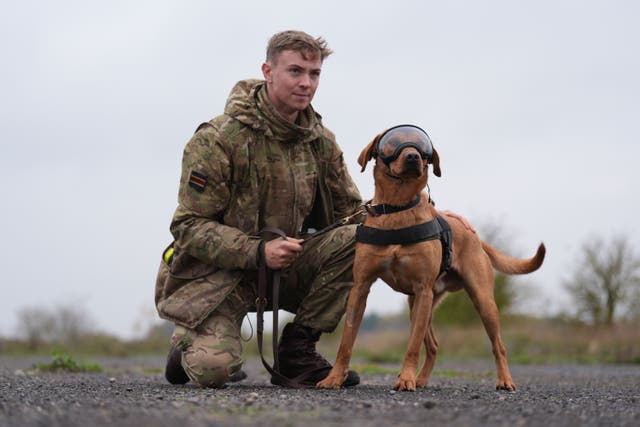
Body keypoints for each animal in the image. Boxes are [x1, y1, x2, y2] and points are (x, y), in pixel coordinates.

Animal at [316, 125, 544, 392]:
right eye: (392, 142)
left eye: (423, 147)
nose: (413, 156)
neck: (397, 208)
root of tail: (473, 235)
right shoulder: (361, 288)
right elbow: (346, 342)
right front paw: (334, 378)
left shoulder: (422, 289)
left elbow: (412, 346)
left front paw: (405, 379)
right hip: (418, 304)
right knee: (434, 345)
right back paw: (422, 379)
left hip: (480, 300)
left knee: (498, 345)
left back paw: (504, 380)